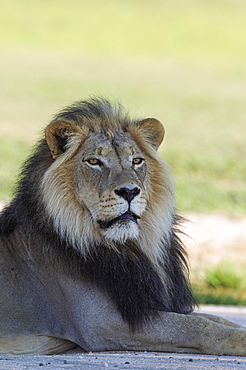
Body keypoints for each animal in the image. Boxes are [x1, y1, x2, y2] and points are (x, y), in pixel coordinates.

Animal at [0, 97, 245, 356]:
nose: (129, 191)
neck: (131, 246)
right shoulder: (104, 324)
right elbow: (200, 327)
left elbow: (214, 319)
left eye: (136, 160)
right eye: (94, 162)